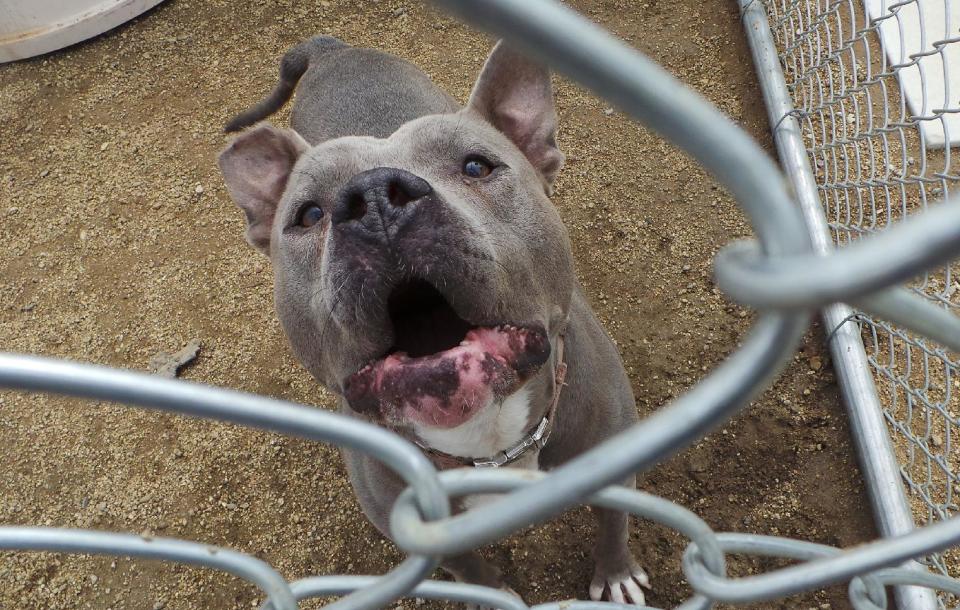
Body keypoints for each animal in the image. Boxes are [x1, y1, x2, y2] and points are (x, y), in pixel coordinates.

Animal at [218, 36, 652, 604]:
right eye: (308, 215)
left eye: (477, 167)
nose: (374, 196)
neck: (489, 442)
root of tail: (330, 47)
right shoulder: (425, 535)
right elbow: (472, 571)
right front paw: (495, 596)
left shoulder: (617, 469)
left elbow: (614, 524)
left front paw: (617, 572)